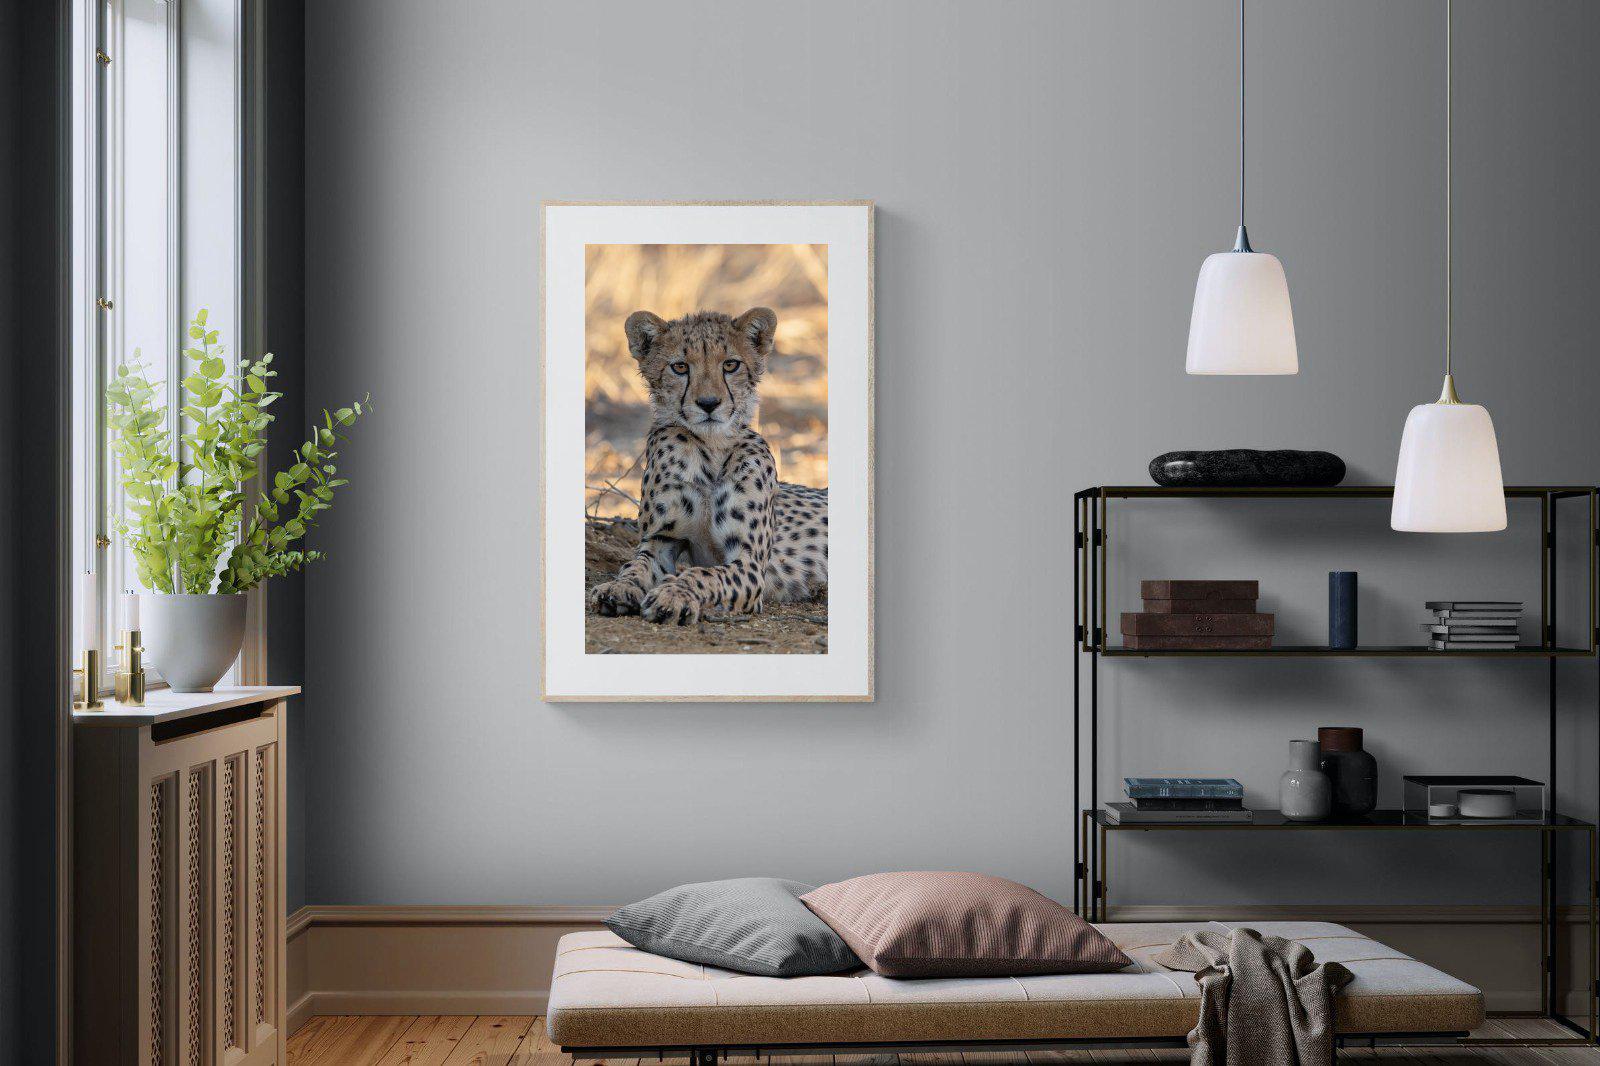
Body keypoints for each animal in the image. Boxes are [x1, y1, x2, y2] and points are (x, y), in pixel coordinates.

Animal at [588, 306, 828, 626]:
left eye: (730, 365)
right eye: (679, 367)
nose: (709, 403)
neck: (711, 449)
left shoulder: (749, 562)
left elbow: (704, 574)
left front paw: (673, 595)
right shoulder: (661, 541)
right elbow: (635, 565)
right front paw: (619, 587)